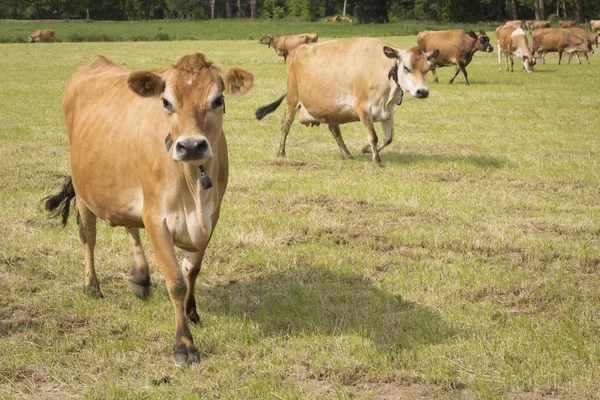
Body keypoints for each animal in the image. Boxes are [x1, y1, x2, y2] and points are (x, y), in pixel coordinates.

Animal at [44, 53, 253, 366]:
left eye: (218, 100)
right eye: (165, 102)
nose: (191, 145)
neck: (193, 181)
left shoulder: (211, 215)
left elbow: (192, 269)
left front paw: (192, 312)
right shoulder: (157, 218)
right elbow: (176, 281)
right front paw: (184, 344)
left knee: (131, 227)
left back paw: (140, 278)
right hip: (83, 193)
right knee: (88, 237)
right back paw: (92, 286)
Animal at [255, 38, 438, 166]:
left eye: (427, 69)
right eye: (406, 67)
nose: (422, 91)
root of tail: (295, 51)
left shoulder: (388, 111)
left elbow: (388, 138)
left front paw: (366, 149)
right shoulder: (363, 108)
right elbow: (373, 136)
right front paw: (376, 160)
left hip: (329, 109)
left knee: (334, 130)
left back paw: (347, 154)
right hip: (292, 99)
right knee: (285, 125)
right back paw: (281, 153)